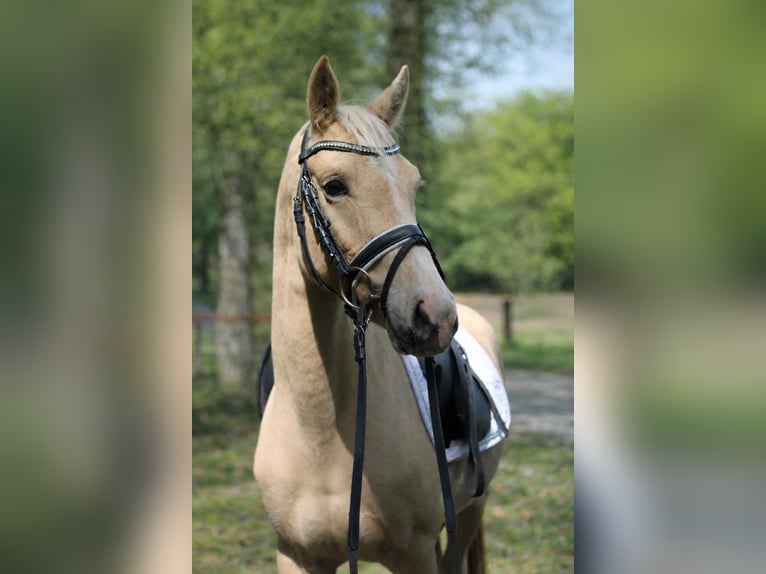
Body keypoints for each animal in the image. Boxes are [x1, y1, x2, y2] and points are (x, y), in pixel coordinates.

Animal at [254, 56, 508, 574]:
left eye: (413, 184)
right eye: (335, 186)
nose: (436, 316)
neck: (319, 430)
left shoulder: (413, 554)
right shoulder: (296, 555)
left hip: (469, 512)